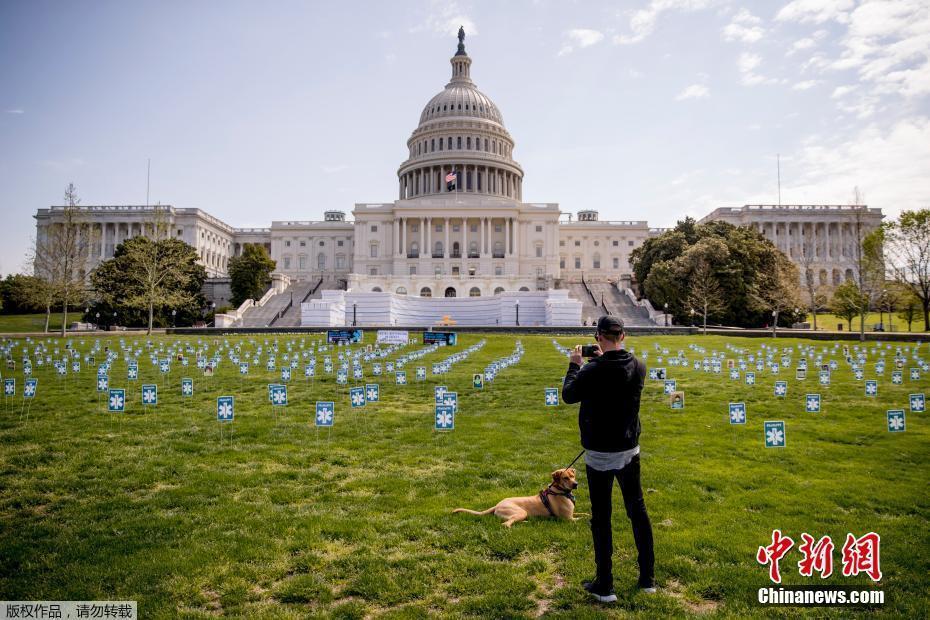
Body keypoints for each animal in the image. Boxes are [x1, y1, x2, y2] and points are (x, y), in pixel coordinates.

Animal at [452, 468, 588, 524]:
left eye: (573, 476)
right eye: (565, 478)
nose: (576, 484)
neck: (559, 490)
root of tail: (497, 505)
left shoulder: (572, 514)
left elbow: (584, 514)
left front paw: (587, 514)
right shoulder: (568, 519)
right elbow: (582, 519)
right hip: (520, 512)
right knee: (506, 524)